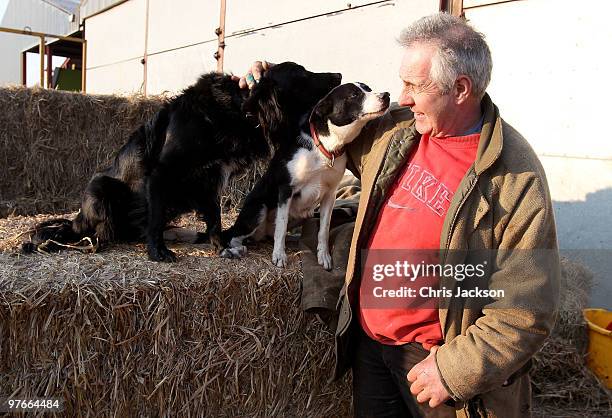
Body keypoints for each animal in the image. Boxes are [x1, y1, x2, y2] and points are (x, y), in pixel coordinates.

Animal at [22, 62, 340, 262]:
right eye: (302, 73)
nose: (338, 75)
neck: (239, 110)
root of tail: (77, 220)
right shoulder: (161, 173)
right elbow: (155, 217)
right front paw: (157, 252)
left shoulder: (211, 179)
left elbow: (215, 218)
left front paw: (220, 247)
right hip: (100, 187)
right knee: (99, 233)